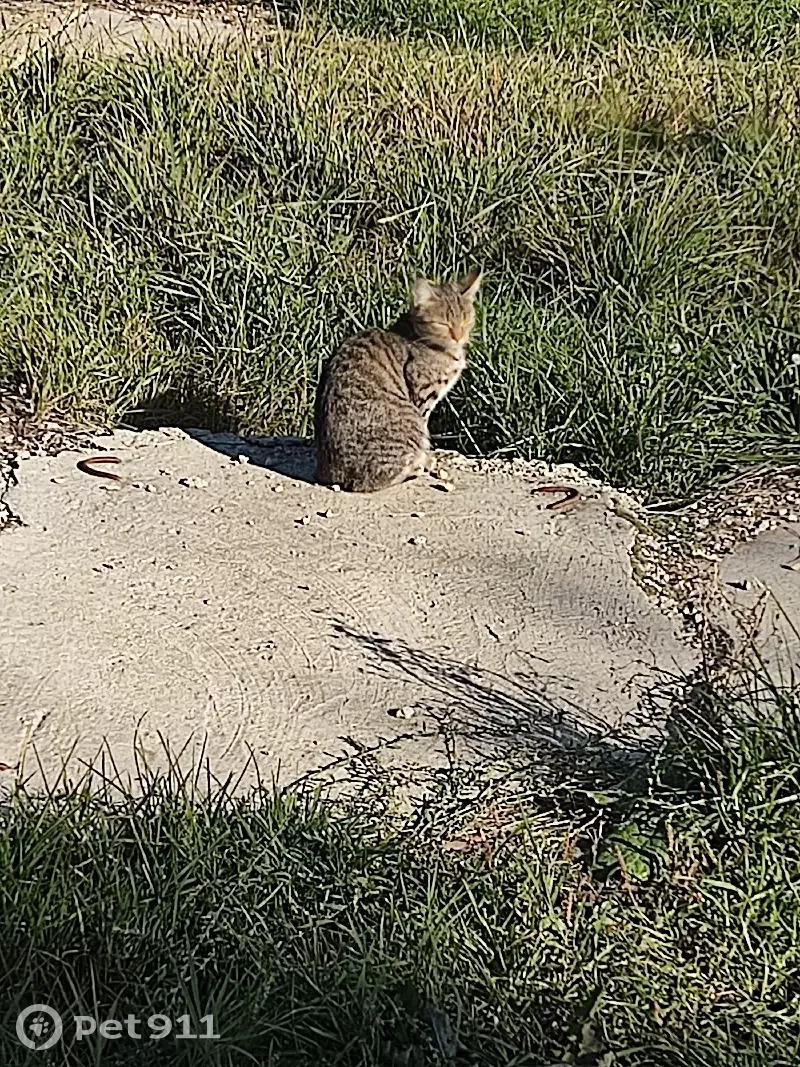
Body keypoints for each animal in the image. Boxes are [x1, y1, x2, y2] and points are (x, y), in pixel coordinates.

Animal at [315, 271, 486, 495]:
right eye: (443, 324)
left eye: (466, 320)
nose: (459, 337)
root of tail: (334, 475)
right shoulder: (422, 397)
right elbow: (424, 438)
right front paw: (425, 460)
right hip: (408, 421)